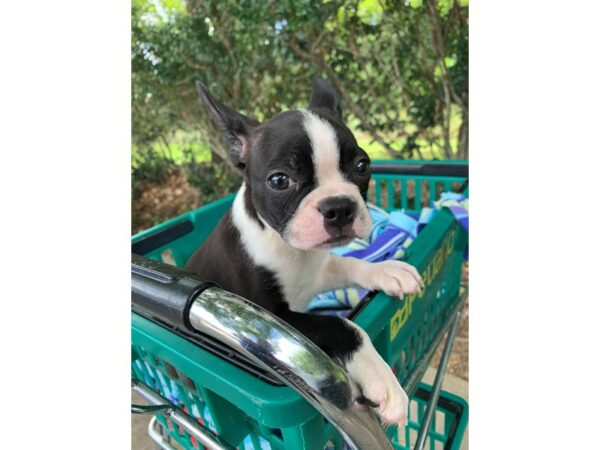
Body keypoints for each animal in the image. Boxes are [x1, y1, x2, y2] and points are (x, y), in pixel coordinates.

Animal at [185, 79, 424, 428]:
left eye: (362, 165)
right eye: (279, 180)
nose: (339, 207)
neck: (291, 251)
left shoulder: (317, 274)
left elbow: (348, 262)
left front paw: (388, 270)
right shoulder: (268, 324)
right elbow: (342, 324)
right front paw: (380, 375)